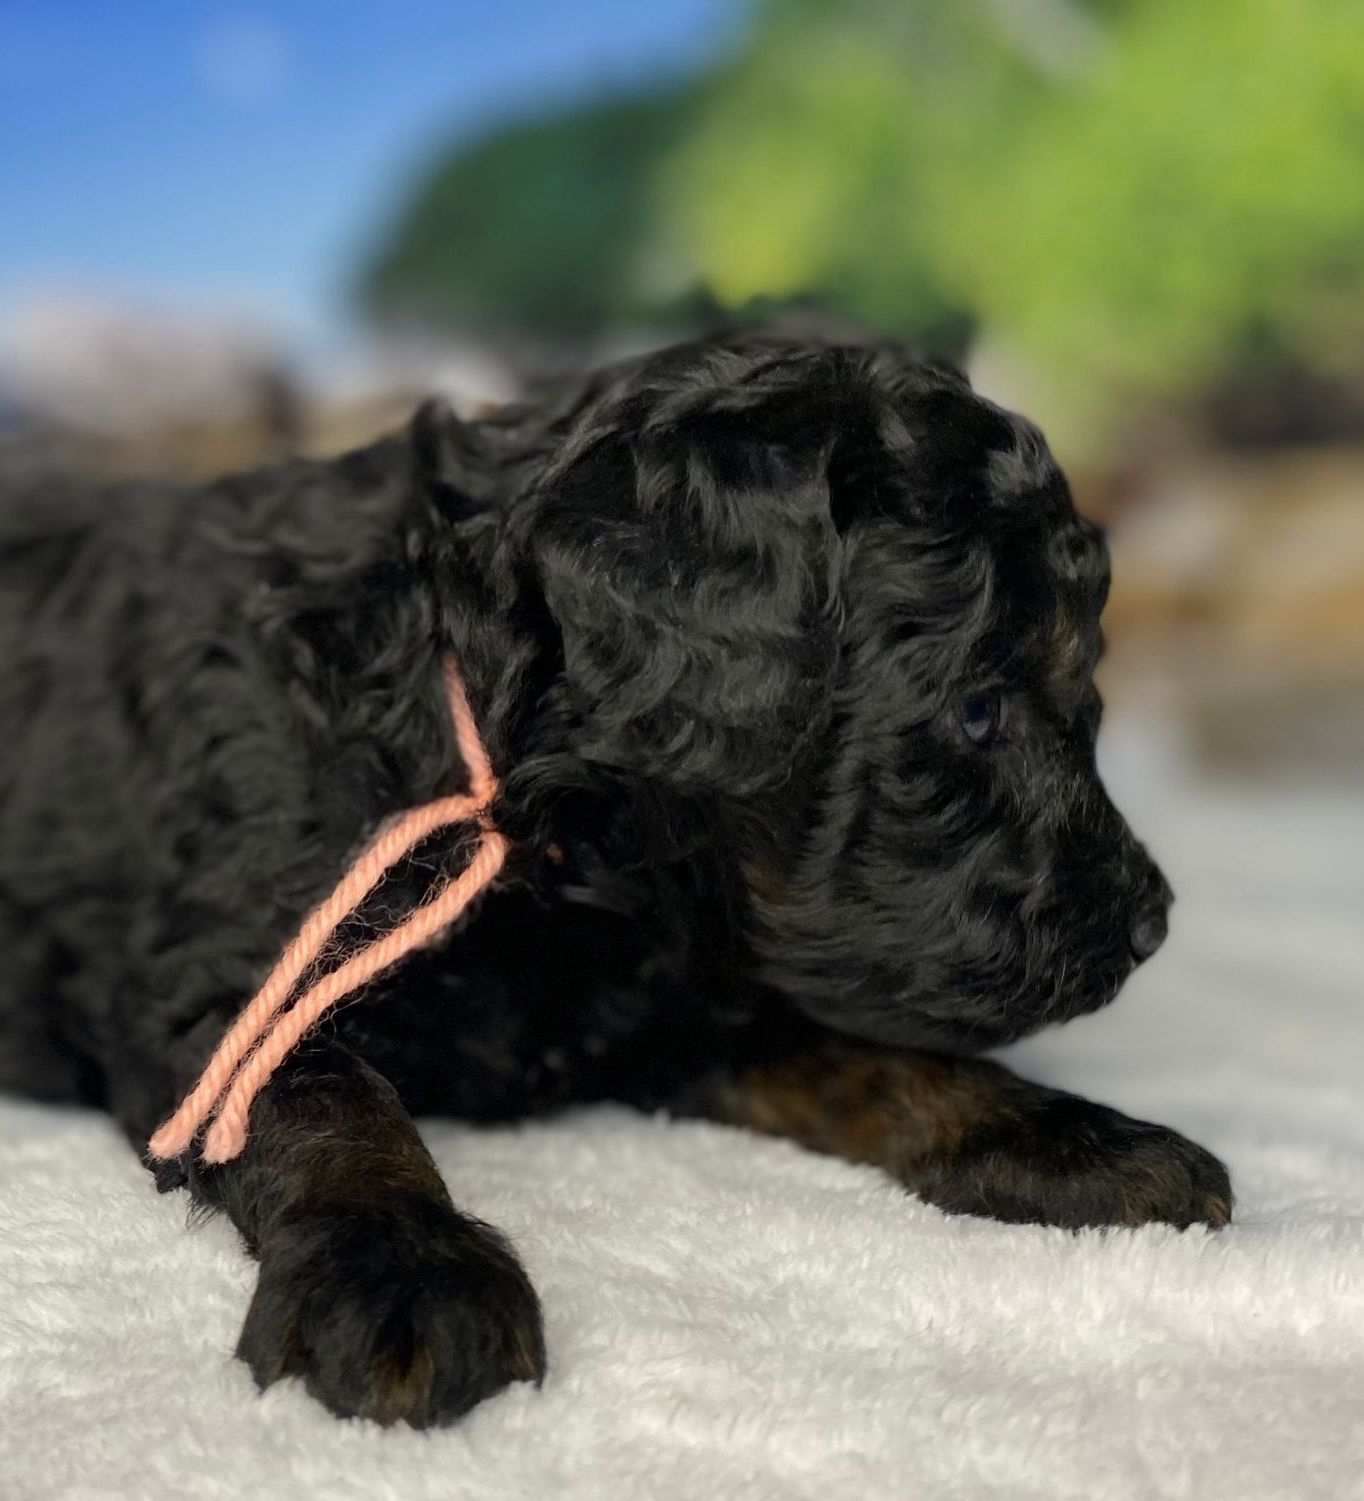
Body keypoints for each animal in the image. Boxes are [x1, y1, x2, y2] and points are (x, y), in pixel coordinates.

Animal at [0, 331, 1230, 1428]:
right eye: (977, 711)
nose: (1150, 923)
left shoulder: (686, 990)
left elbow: (872, 1054)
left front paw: (1078, 1142)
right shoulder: (224, 975)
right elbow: (322, 1098)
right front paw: (408, 1278)